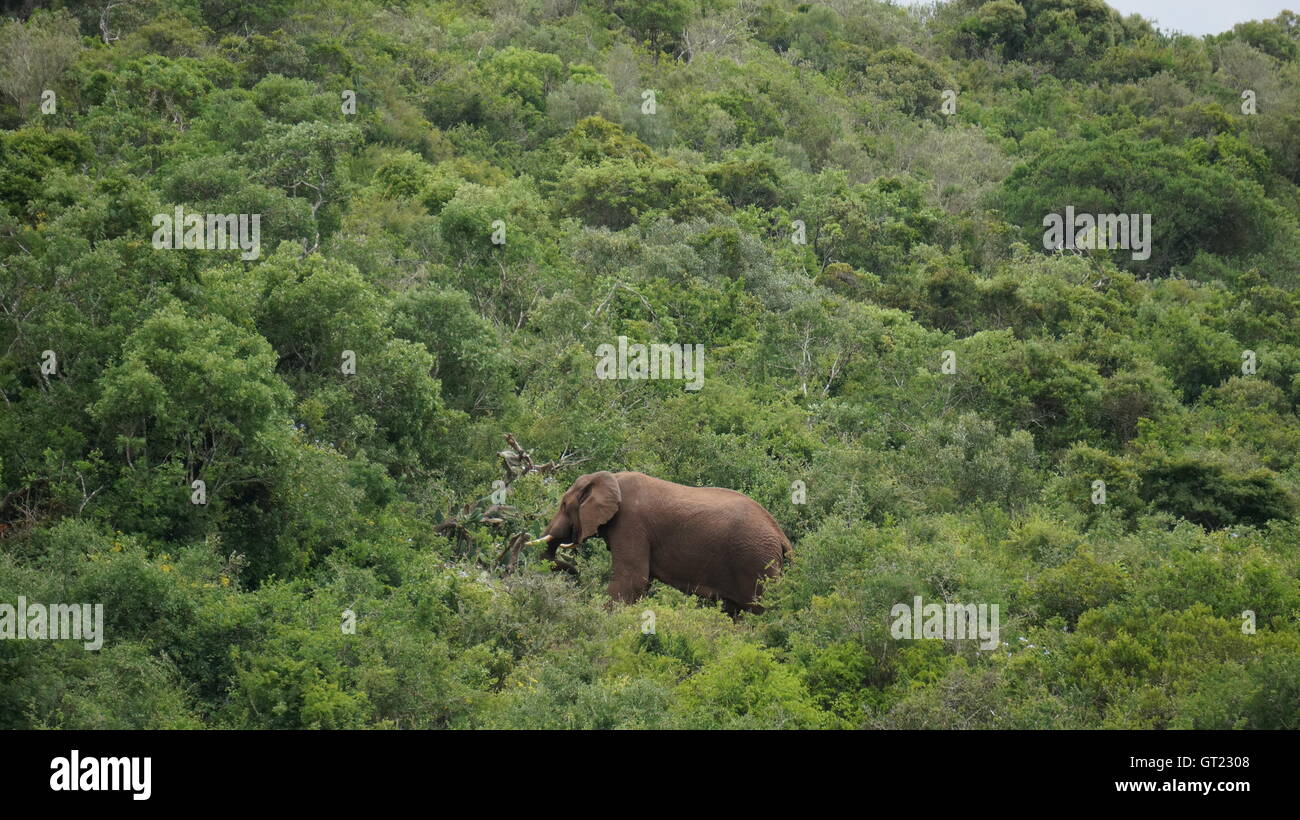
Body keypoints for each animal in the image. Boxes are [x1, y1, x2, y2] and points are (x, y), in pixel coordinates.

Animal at [530, 467, 790, 615]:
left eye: (564, 505)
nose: (575, 571)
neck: (610, 479)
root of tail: (781, 535)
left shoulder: (631, 524)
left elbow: (632, 580)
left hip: (756, 560)